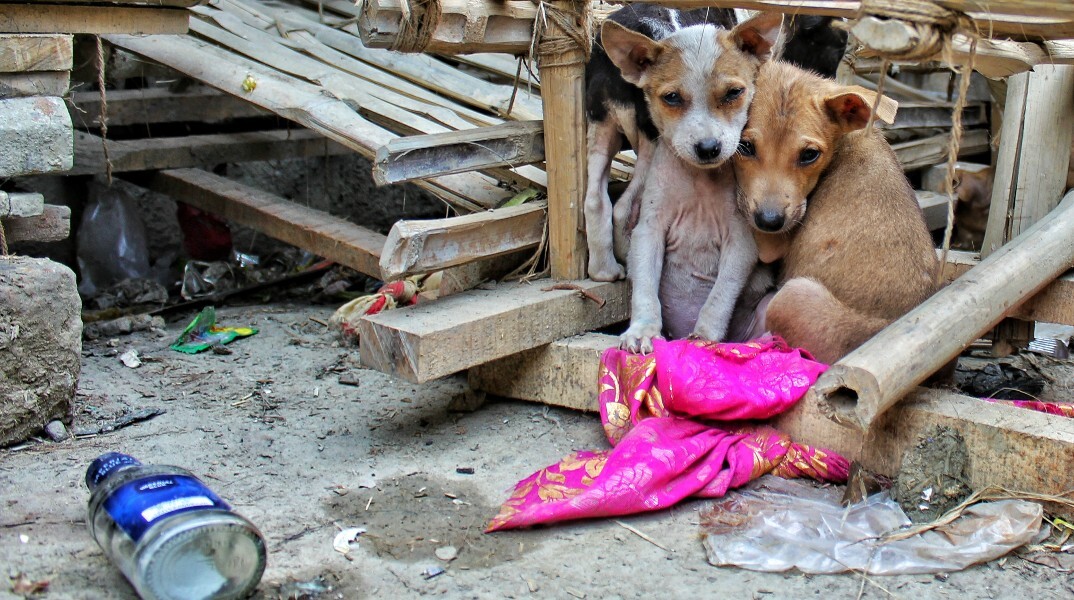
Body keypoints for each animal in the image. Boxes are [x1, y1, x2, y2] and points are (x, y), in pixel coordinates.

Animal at [734, 61, 936, 364]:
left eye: (809, 155)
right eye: (744, 147)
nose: (770, 222)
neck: (847, 140)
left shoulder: (772, 242)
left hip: (792, 295)